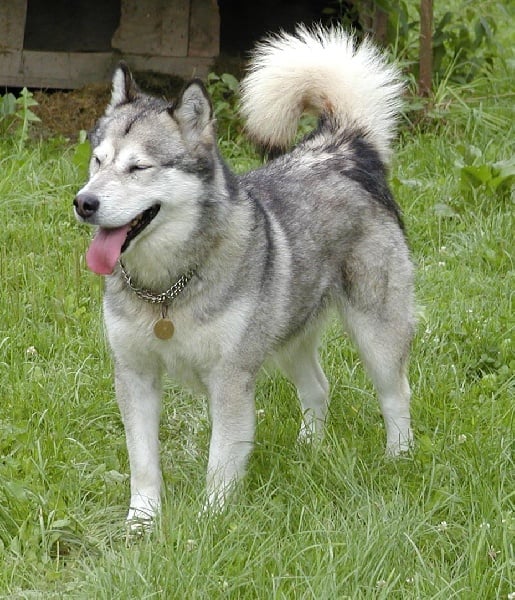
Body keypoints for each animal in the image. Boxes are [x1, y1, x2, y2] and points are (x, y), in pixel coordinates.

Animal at [74, 27, 418, 524]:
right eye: (98, 161)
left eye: (139, 167)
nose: (84, 203)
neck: (166, 291)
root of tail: (343, 148)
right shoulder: (134, 375)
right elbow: (143, 462)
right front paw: (141, 523)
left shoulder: (230, 380)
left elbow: (220, 463)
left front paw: (210, 524)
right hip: (288, 336)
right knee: (318, 388)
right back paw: (308, 451)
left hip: (377, 335)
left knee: (396, 395)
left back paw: (399, 459)